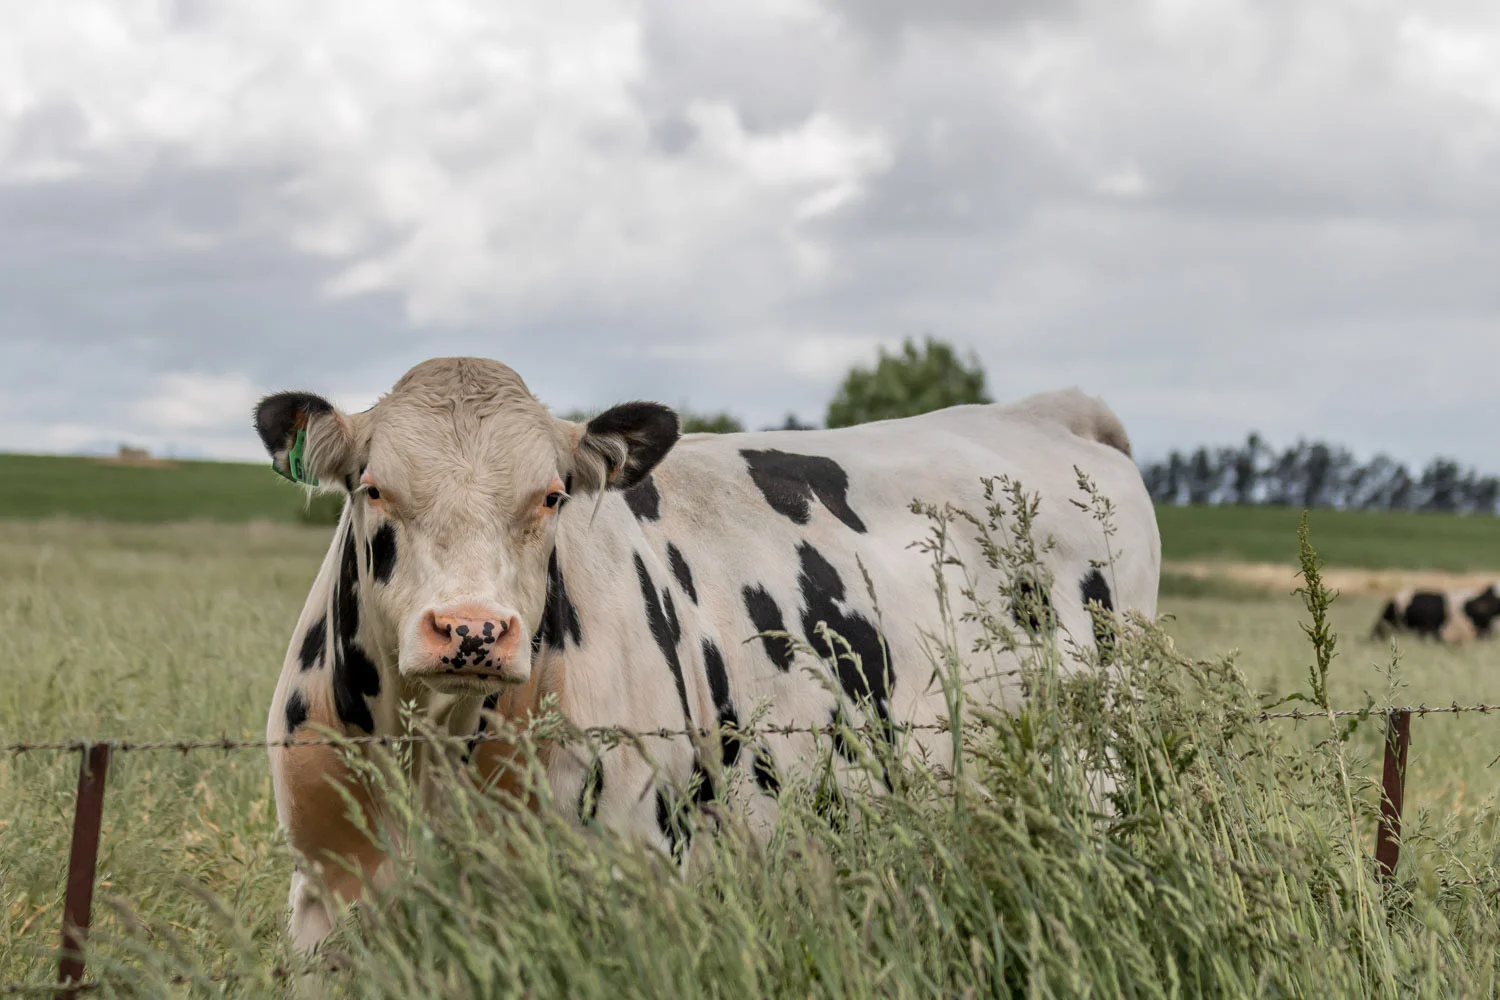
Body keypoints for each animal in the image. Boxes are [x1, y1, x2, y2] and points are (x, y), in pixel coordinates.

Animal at [254, 357, 1161, 953]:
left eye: (550, 497)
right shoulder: (326, 899)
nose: (472, 631)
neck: (430, 748)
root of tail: (1040, 411)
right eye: (373, 488)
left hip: (1095, 778)